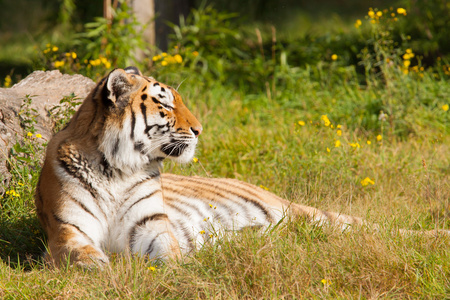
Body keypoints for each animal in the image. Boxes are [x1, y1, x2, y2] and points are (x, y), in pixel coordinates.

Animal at [36, 66, 450, 268]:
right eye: (166, 105)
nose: (200, 129)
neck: (117, 170)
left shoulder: (150, 224)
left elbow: (167, 252)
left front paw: (176, 268)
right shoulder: (68, 230)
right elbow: (80, 254)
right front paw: (102, 268)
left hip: (312, 215)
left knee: (379, 230)